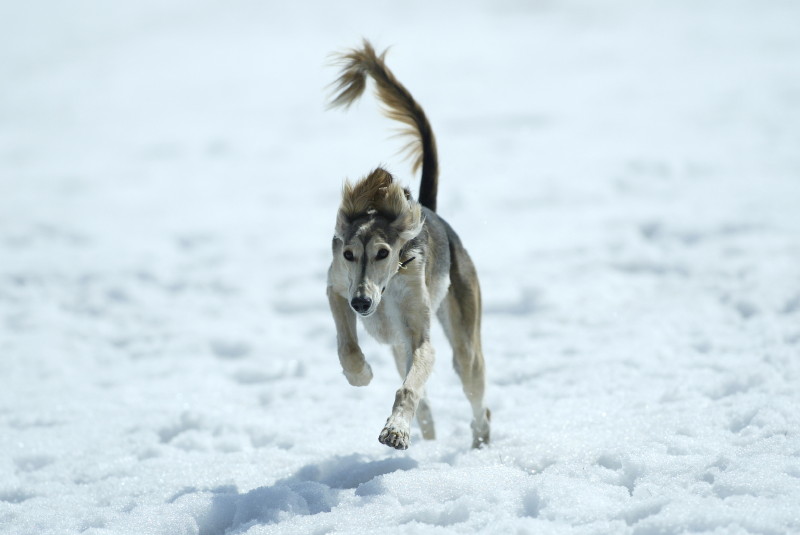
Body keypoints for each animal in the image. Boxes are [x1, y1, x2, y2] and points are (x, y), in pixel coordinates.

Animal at [324, 39, 488, 450]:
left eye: (384, 253)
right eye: (348, 254)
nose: (361, 303)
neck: (386, 290)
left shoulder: (420, 337)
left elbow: (410, 385)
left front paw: (396, 429)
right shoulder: (336, 287)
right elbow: (347, 345)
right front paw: (361, 373)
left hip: (463, 334)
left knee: (475, 390)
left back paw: (479, 441)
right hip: (398, 344)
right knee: (420, 393)